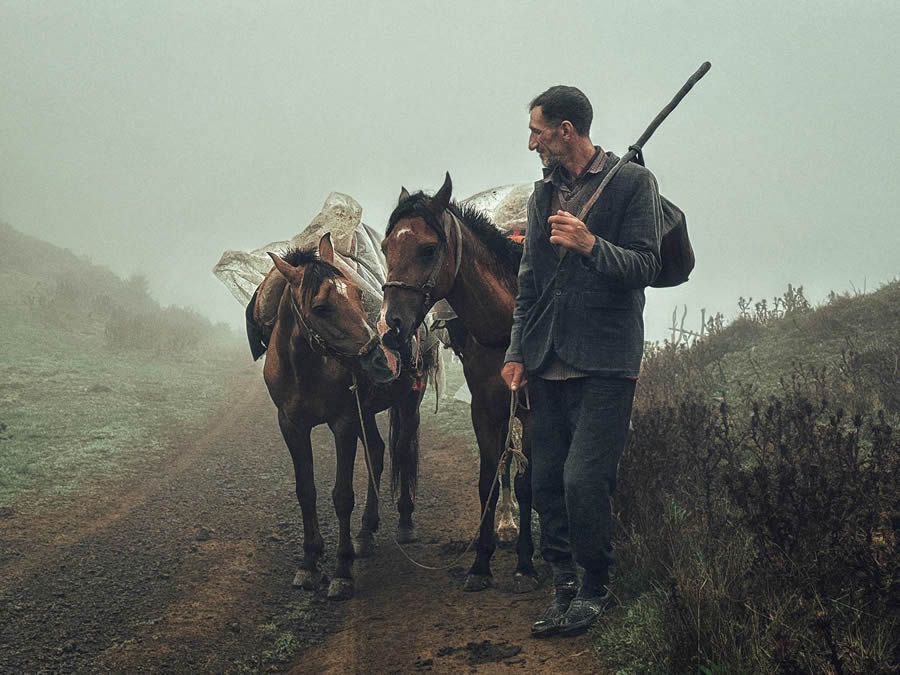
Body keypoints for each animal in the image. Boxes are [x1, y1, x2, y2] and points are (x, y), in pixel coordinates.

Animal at [248, 234, 434, 604]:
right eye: (321, 307)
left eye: (359, 294)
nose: (381, 360)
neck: (305, 368)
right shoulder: (291, 426)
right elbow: (306, 491)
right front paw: (309, 562)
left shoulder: (344, 424)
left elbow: (342, 495)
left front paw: (342, 570)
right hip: (367, 412)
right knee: (377, 452)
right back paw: (365, 532)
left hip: (408, 404)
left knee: (402, 450)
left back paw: (404, 523)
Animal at [376, 177, 536, 596]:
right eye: (385, 247)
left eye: (429, 248)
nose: (390, 326)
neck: (506, 324)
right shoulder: (483, 408)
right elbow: (488, 480)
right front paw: (481, 563)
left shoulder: (535, 413)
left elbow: (528, 482)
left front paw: (526, 565)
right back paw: (506, 523)